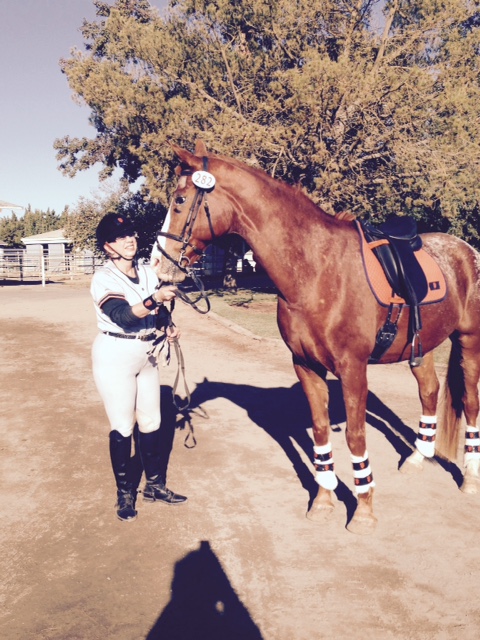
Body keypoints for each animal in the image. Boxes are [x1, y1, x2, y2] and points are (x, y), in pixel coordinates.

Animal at [151, 140, 480, 534]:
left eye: (179, 200)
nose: (158, 264)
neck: (316, 269)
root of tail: (465, 250)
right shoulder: (306, 366)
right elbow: (321, 433)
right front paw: (323, 500)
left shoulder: (353, 370)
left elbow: (355, 436)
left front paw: (363, 509)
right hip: (422, 344)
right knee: (429, 391)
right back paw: (418, 457)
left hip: (470, 341)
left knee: (471, 402)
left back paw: (470, 478)